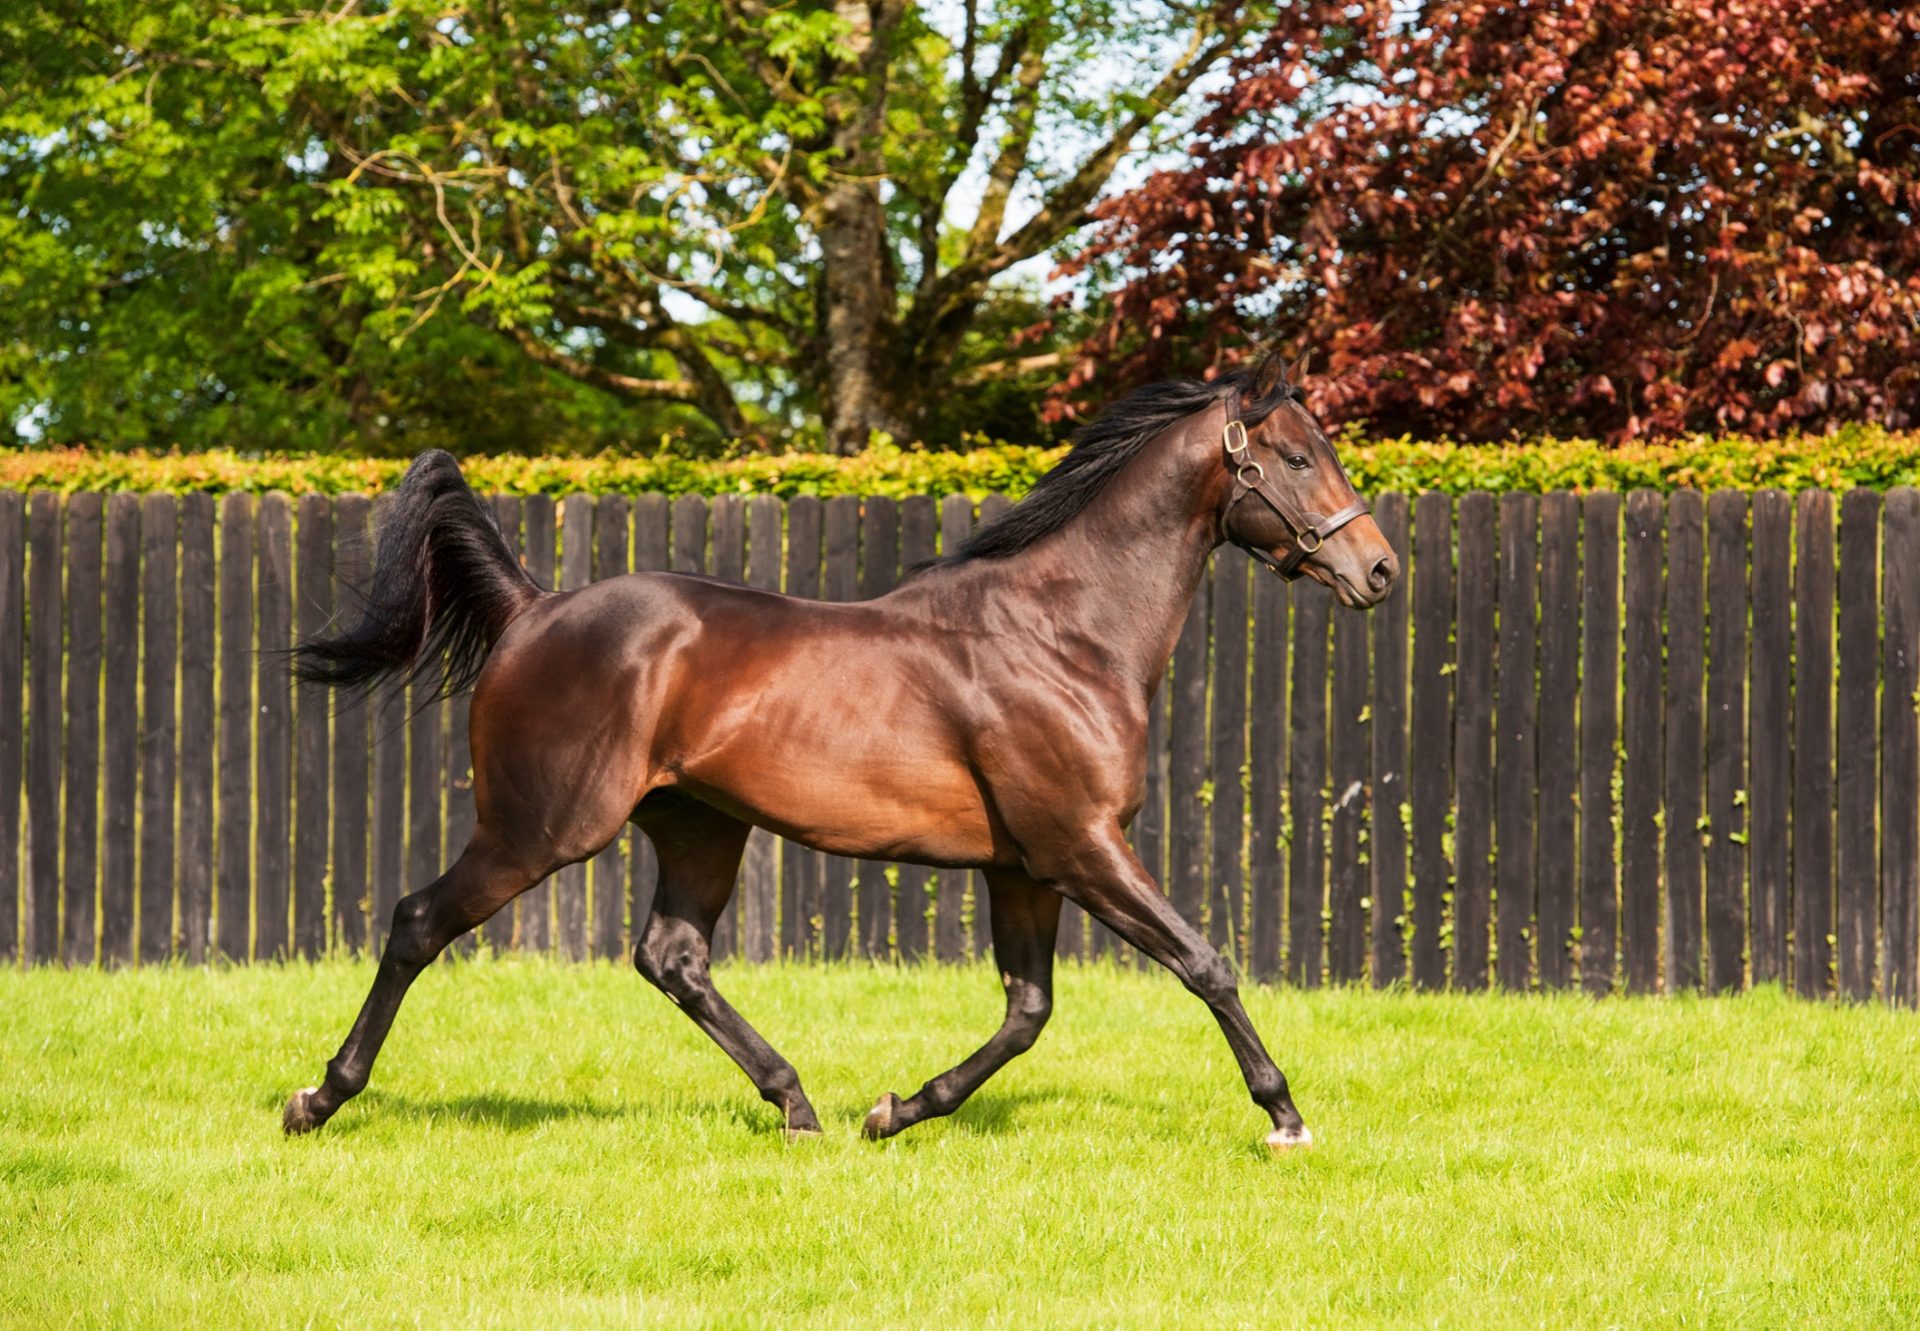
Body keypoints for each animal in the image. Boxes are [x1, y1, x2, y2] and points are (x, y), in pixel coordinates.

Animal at [280, 353, 1397, 1152]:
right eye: (1298, 456)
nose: (1379, 568)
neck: (1066, 633)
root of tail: (532, 607)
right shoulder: (1081, 845)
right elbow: (1206, 962)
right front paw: (1285, 1115)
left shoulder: (1025, 864)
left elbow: (1028, 1010)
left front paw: (895, 1109)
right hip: (539, 829)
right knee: (418, 921)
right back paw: (319, 1097)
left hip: (699, 826)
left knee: (672, 956)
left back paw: (799, 1105)